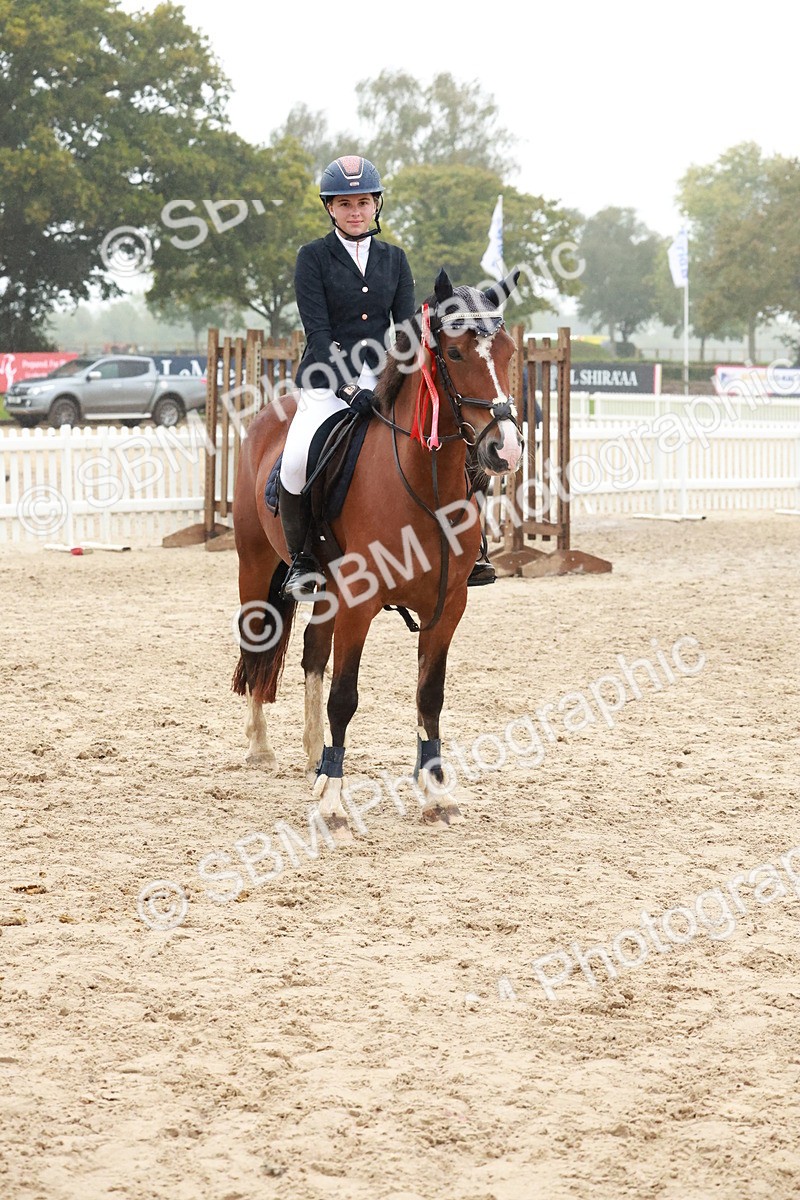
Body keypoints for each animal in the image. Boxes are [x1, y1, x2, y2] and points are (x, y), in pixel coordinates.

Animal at [231, 267, 524, 839]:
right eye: (455, 353)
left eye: (507, 352)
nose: (505, 450)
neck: (424, 485)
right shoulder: (359, 603)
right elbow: (346, 697)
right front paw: (333, 806)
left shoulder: (447, 606)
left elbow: (429, 695)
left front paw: (437, 794)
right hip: (256, 566)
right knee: (258, 642)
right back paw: (261, 747)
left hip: (325, 590)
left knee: (311, 652)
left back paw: (312, 757)